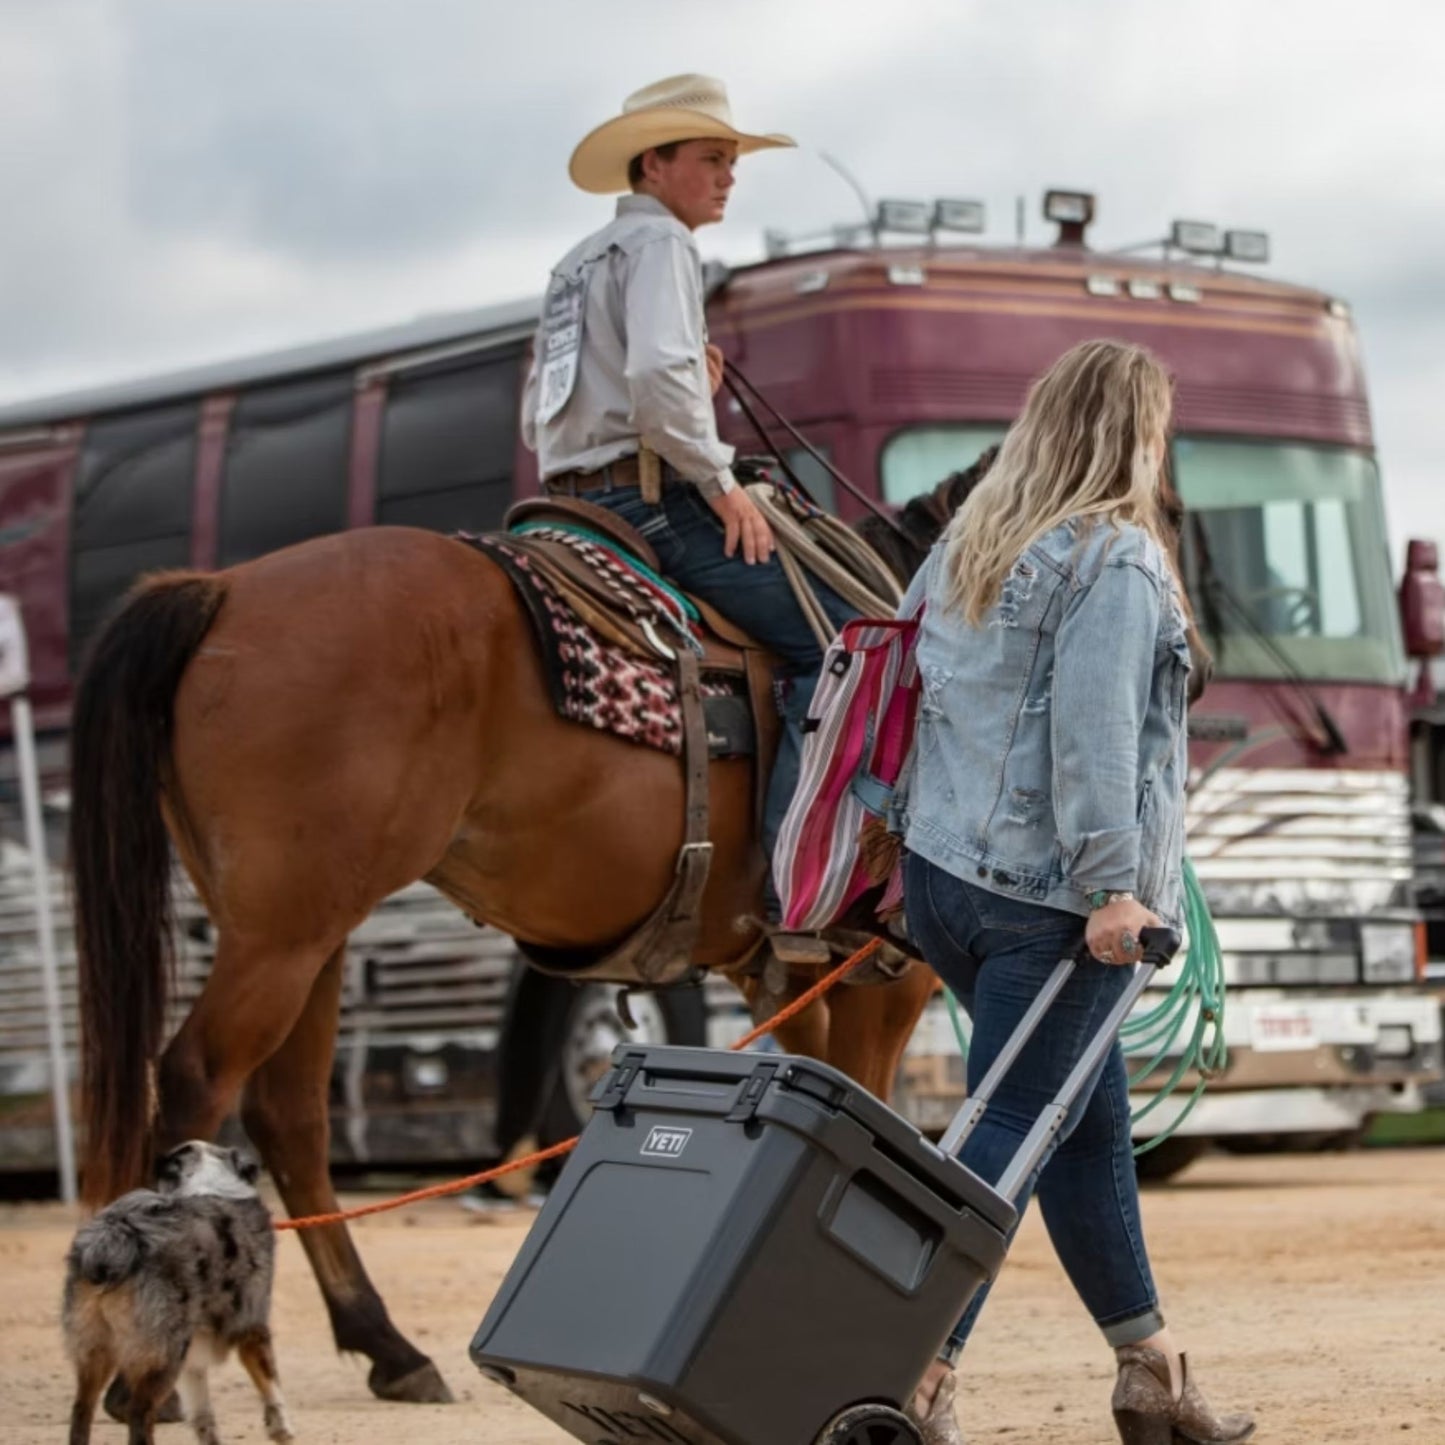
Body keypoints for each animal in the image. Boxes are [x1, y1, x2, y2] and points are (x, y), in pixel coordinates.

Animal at [70, 517, 936, 1398]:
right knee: (195, 1078)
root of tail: (221, 590)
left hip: (306, 932)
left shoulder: (790, 981)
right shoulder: (887, 977)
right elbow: (875, 1117)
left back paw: (388, 1346)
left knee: (289, 1115)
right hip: (279, 939)